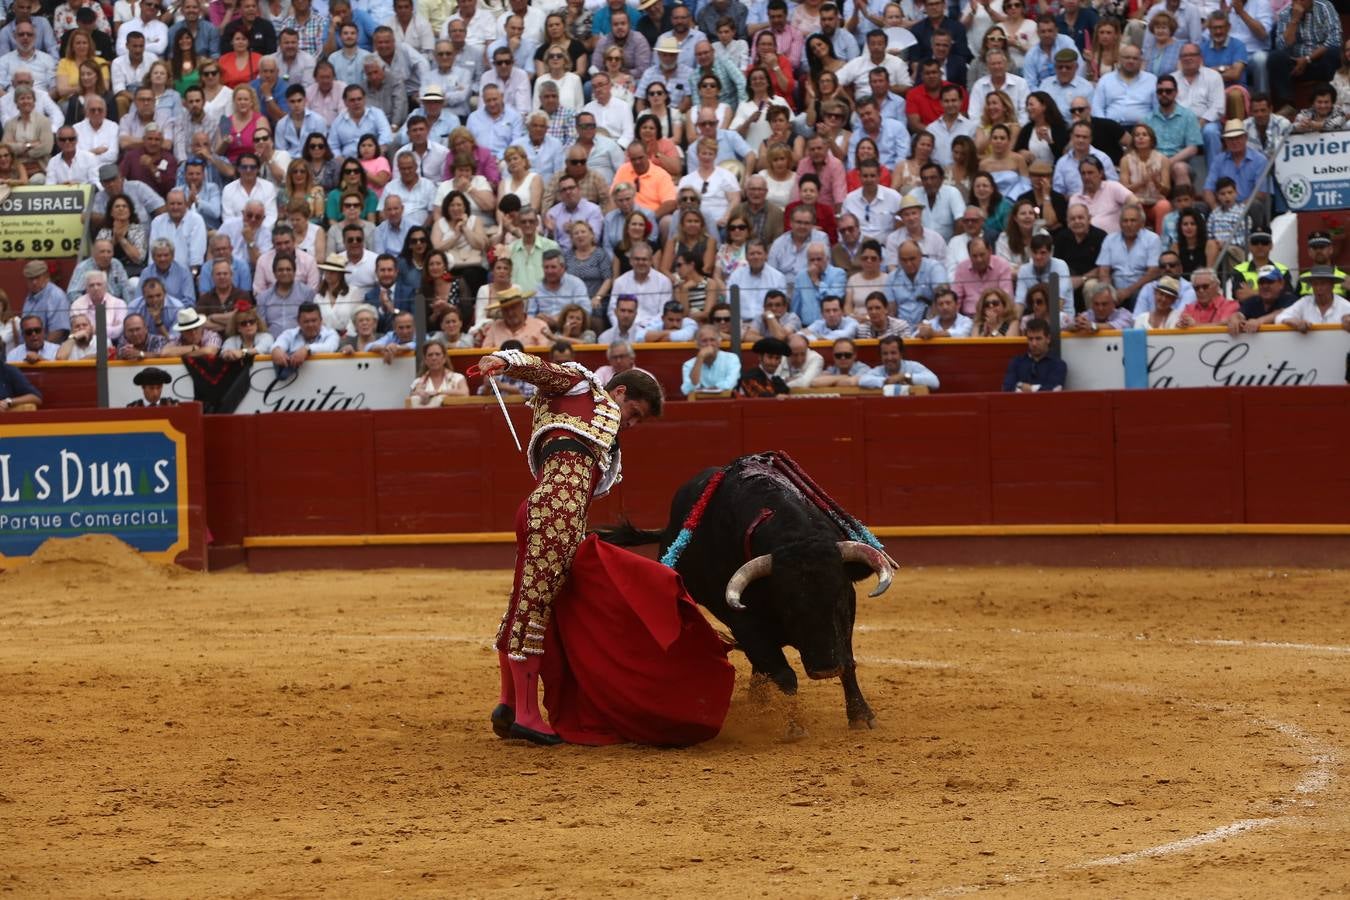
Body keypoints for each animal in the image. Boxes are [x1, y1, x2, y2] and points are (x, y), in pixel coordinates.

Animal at [599, 461, 896, 728]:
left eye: (840, 599)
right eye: (787, 605)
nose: (825, 668)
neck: (793, 536)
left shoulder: (845, 620)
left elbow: (848, 662)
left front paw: (861, 716)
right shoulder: (744, 621)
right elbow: (783, 674)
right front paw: (793, 725)